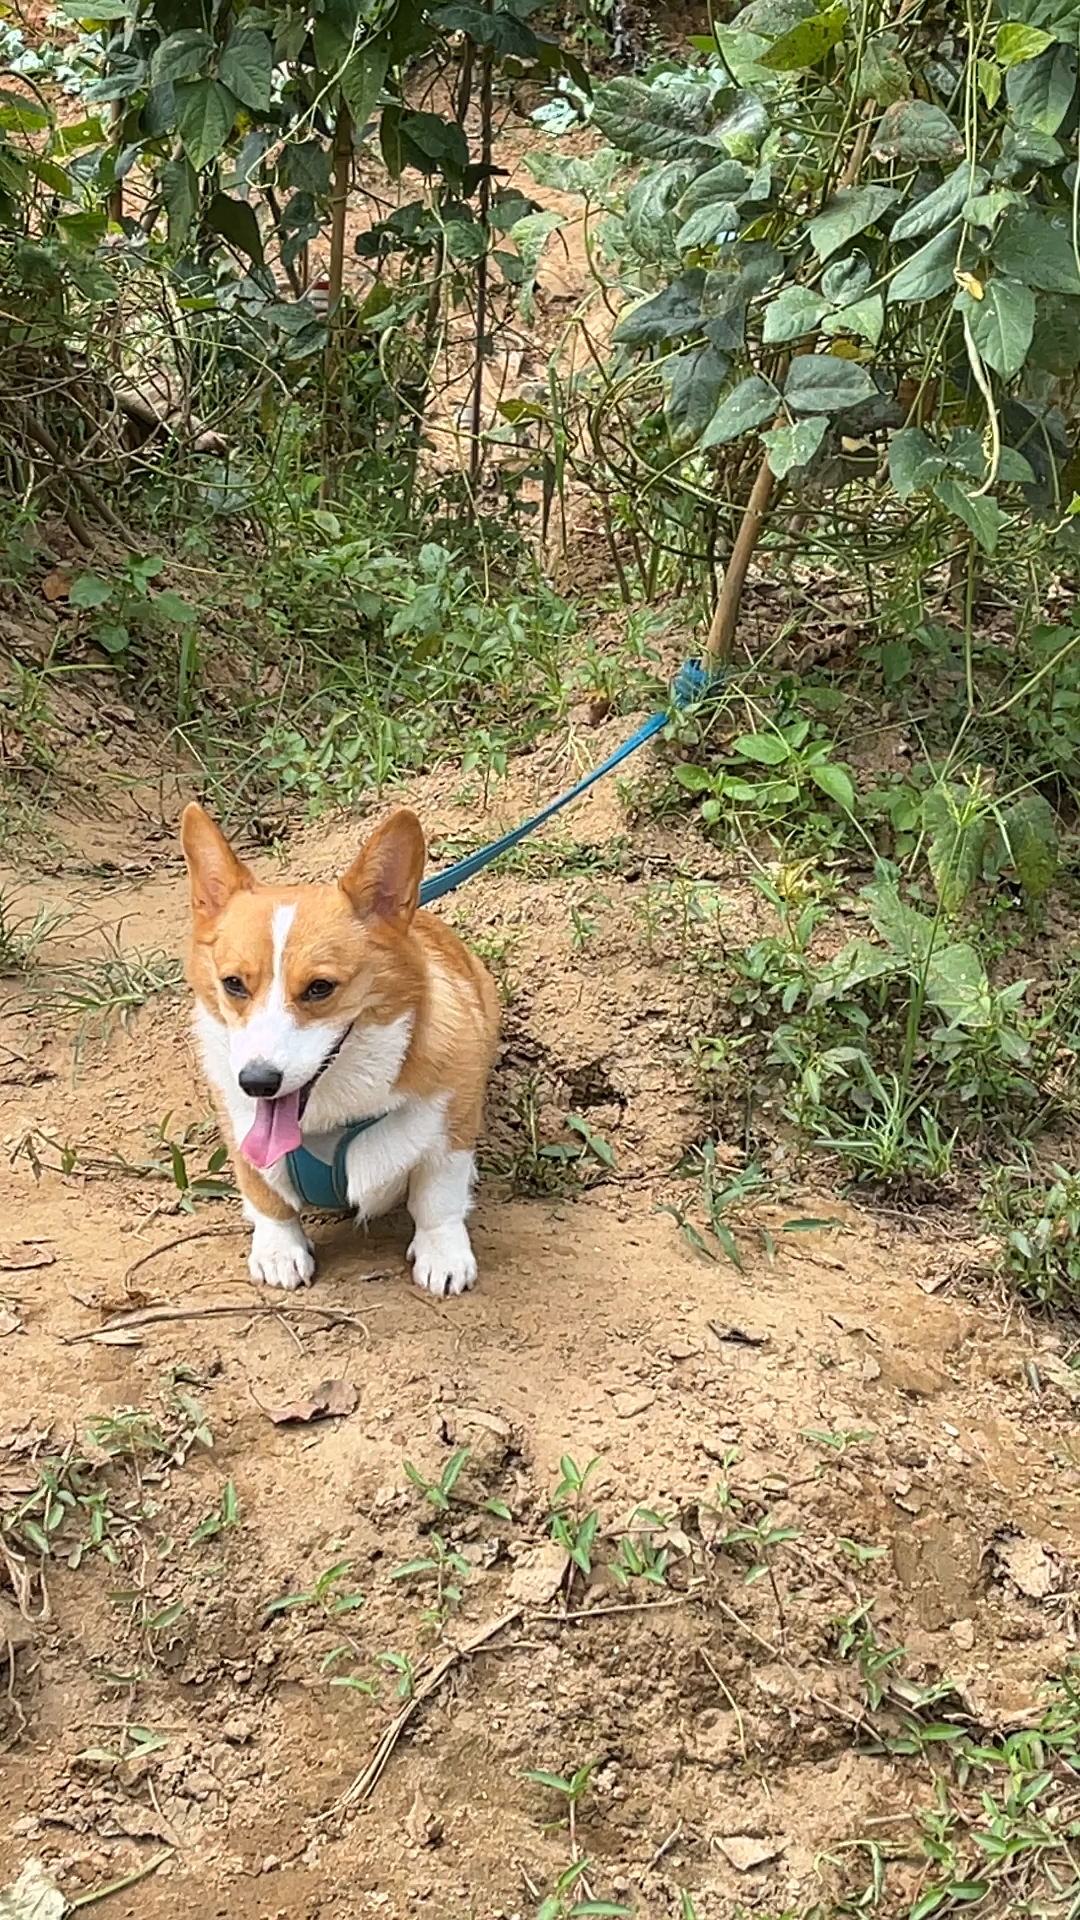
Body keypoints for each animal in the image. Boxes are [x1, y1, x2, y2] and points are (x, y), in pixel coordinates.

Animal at [181, 802, 499, 1297]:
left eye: (319, 988)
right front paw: (279, 1251)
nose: (257, 1082)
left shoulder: (451, 1126)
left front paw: (443, 1254)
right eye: (233, 984)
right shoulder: (240, 1126)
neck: (328, 1118)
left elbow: (437, 1198)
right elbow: (266, 1196)